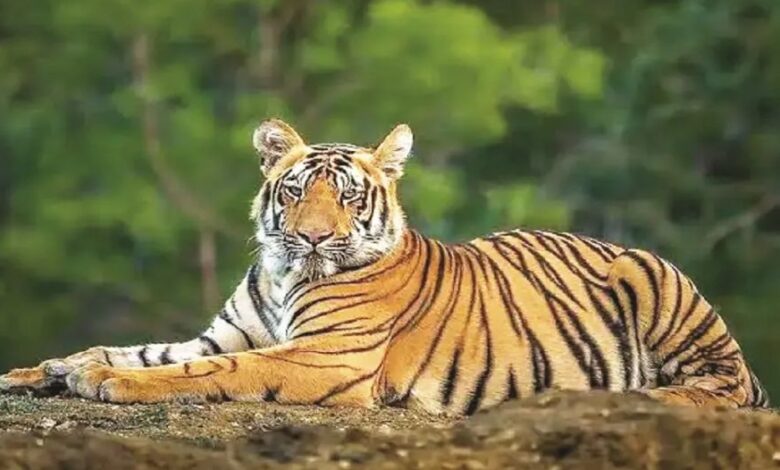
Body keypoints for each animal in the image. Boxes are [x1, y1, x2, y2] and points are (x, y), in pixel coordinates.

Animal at [0, 119, 769, 414]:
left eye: (346, 197)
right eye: (293, 190)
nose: (312, 239)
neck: (283, 274)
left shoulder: (325, 358)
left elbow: (206, 371)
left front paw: (104, 382)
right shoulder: (222, 332)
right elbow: (137, 348)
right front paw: (46, 370)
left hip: (658, 284)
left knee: (723, 389)